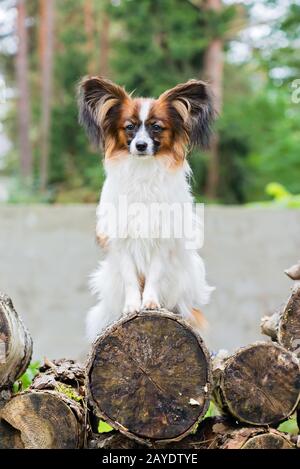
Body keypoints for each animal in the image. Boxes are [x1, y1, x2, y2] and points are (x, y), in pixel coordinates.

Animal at [79, 77, 216, 340]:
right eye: (129, 127)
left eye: (156, 127)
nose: (141, 145)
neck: (143, 172)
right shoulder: (121, 239)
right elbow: (130, 278)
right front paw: (132, 306)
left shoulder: (162, 237)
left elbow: (155, 274)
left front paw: (150, 303)